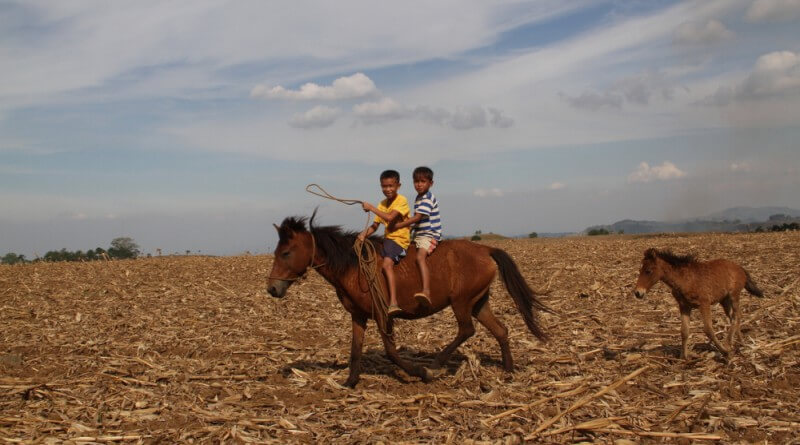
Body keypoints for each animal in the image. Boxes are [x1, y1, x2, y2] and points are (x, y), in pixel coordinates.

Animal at [268, 213, 552, 386]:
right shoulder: (358, 316)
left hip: (462, 303)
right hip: (479, 303)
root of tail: (486, 249)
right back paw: (508, 370)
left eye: (286, 252)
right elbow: (355, 350)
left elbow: (391, 352)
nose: (272, 288)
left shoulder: (383, 315)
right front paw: (349, 382)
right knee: (500, 330)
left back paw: (436, 363)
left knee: (466, 330)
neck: (354, 267)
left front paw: (420, 371)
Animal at [636, 248, 764, 360]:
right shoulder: (684, 306)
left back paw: (728, 344)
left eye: (648, 271)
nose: (638, 293)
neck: (684, 279)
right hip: (724, 300)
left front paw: (725, 353)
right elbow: (684, 331)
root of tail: (740, 268)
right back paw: (739, 342)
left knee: (736, 316)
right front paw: (683, 357)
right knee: (733, 317)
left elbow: (708, 330)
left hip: (734, 296)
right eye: (640, 270)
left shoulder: (704, 304)